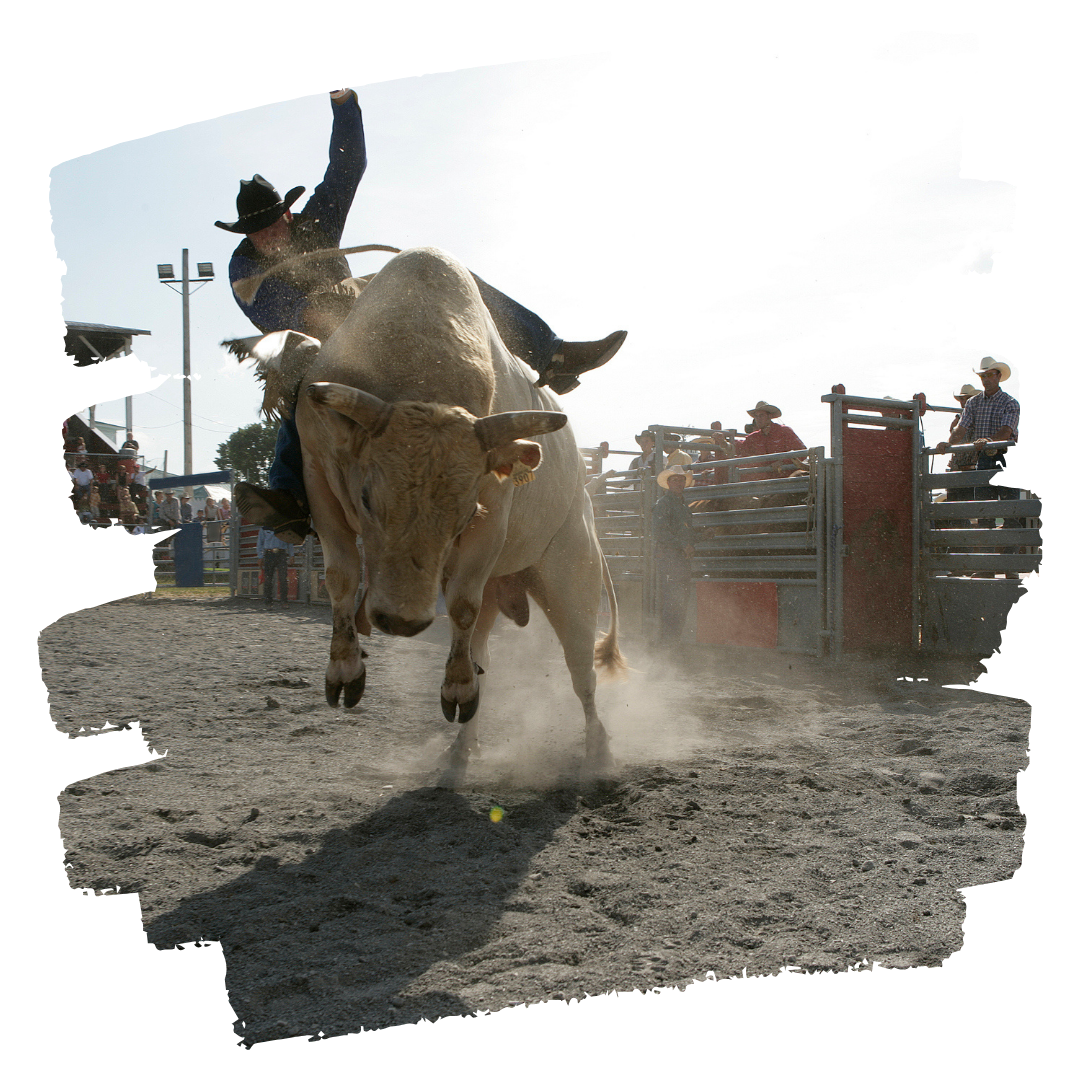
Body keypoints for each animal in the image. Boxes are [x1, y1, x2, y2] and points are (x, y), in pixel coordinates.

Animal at [240, 247, 624, 784]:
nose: (399, 621)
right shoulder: (319, 477)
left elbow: (459, 603)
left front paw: (452, 690)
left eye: (465, 515)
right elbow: (341, 576)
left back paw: (597, 755)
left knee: (581, 674)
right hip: (507, 595)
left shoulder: (492, 509)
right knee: (481, 660)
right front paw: (344, 670)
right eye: (366, 498)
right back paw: (459, 752)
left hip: (574, 580)